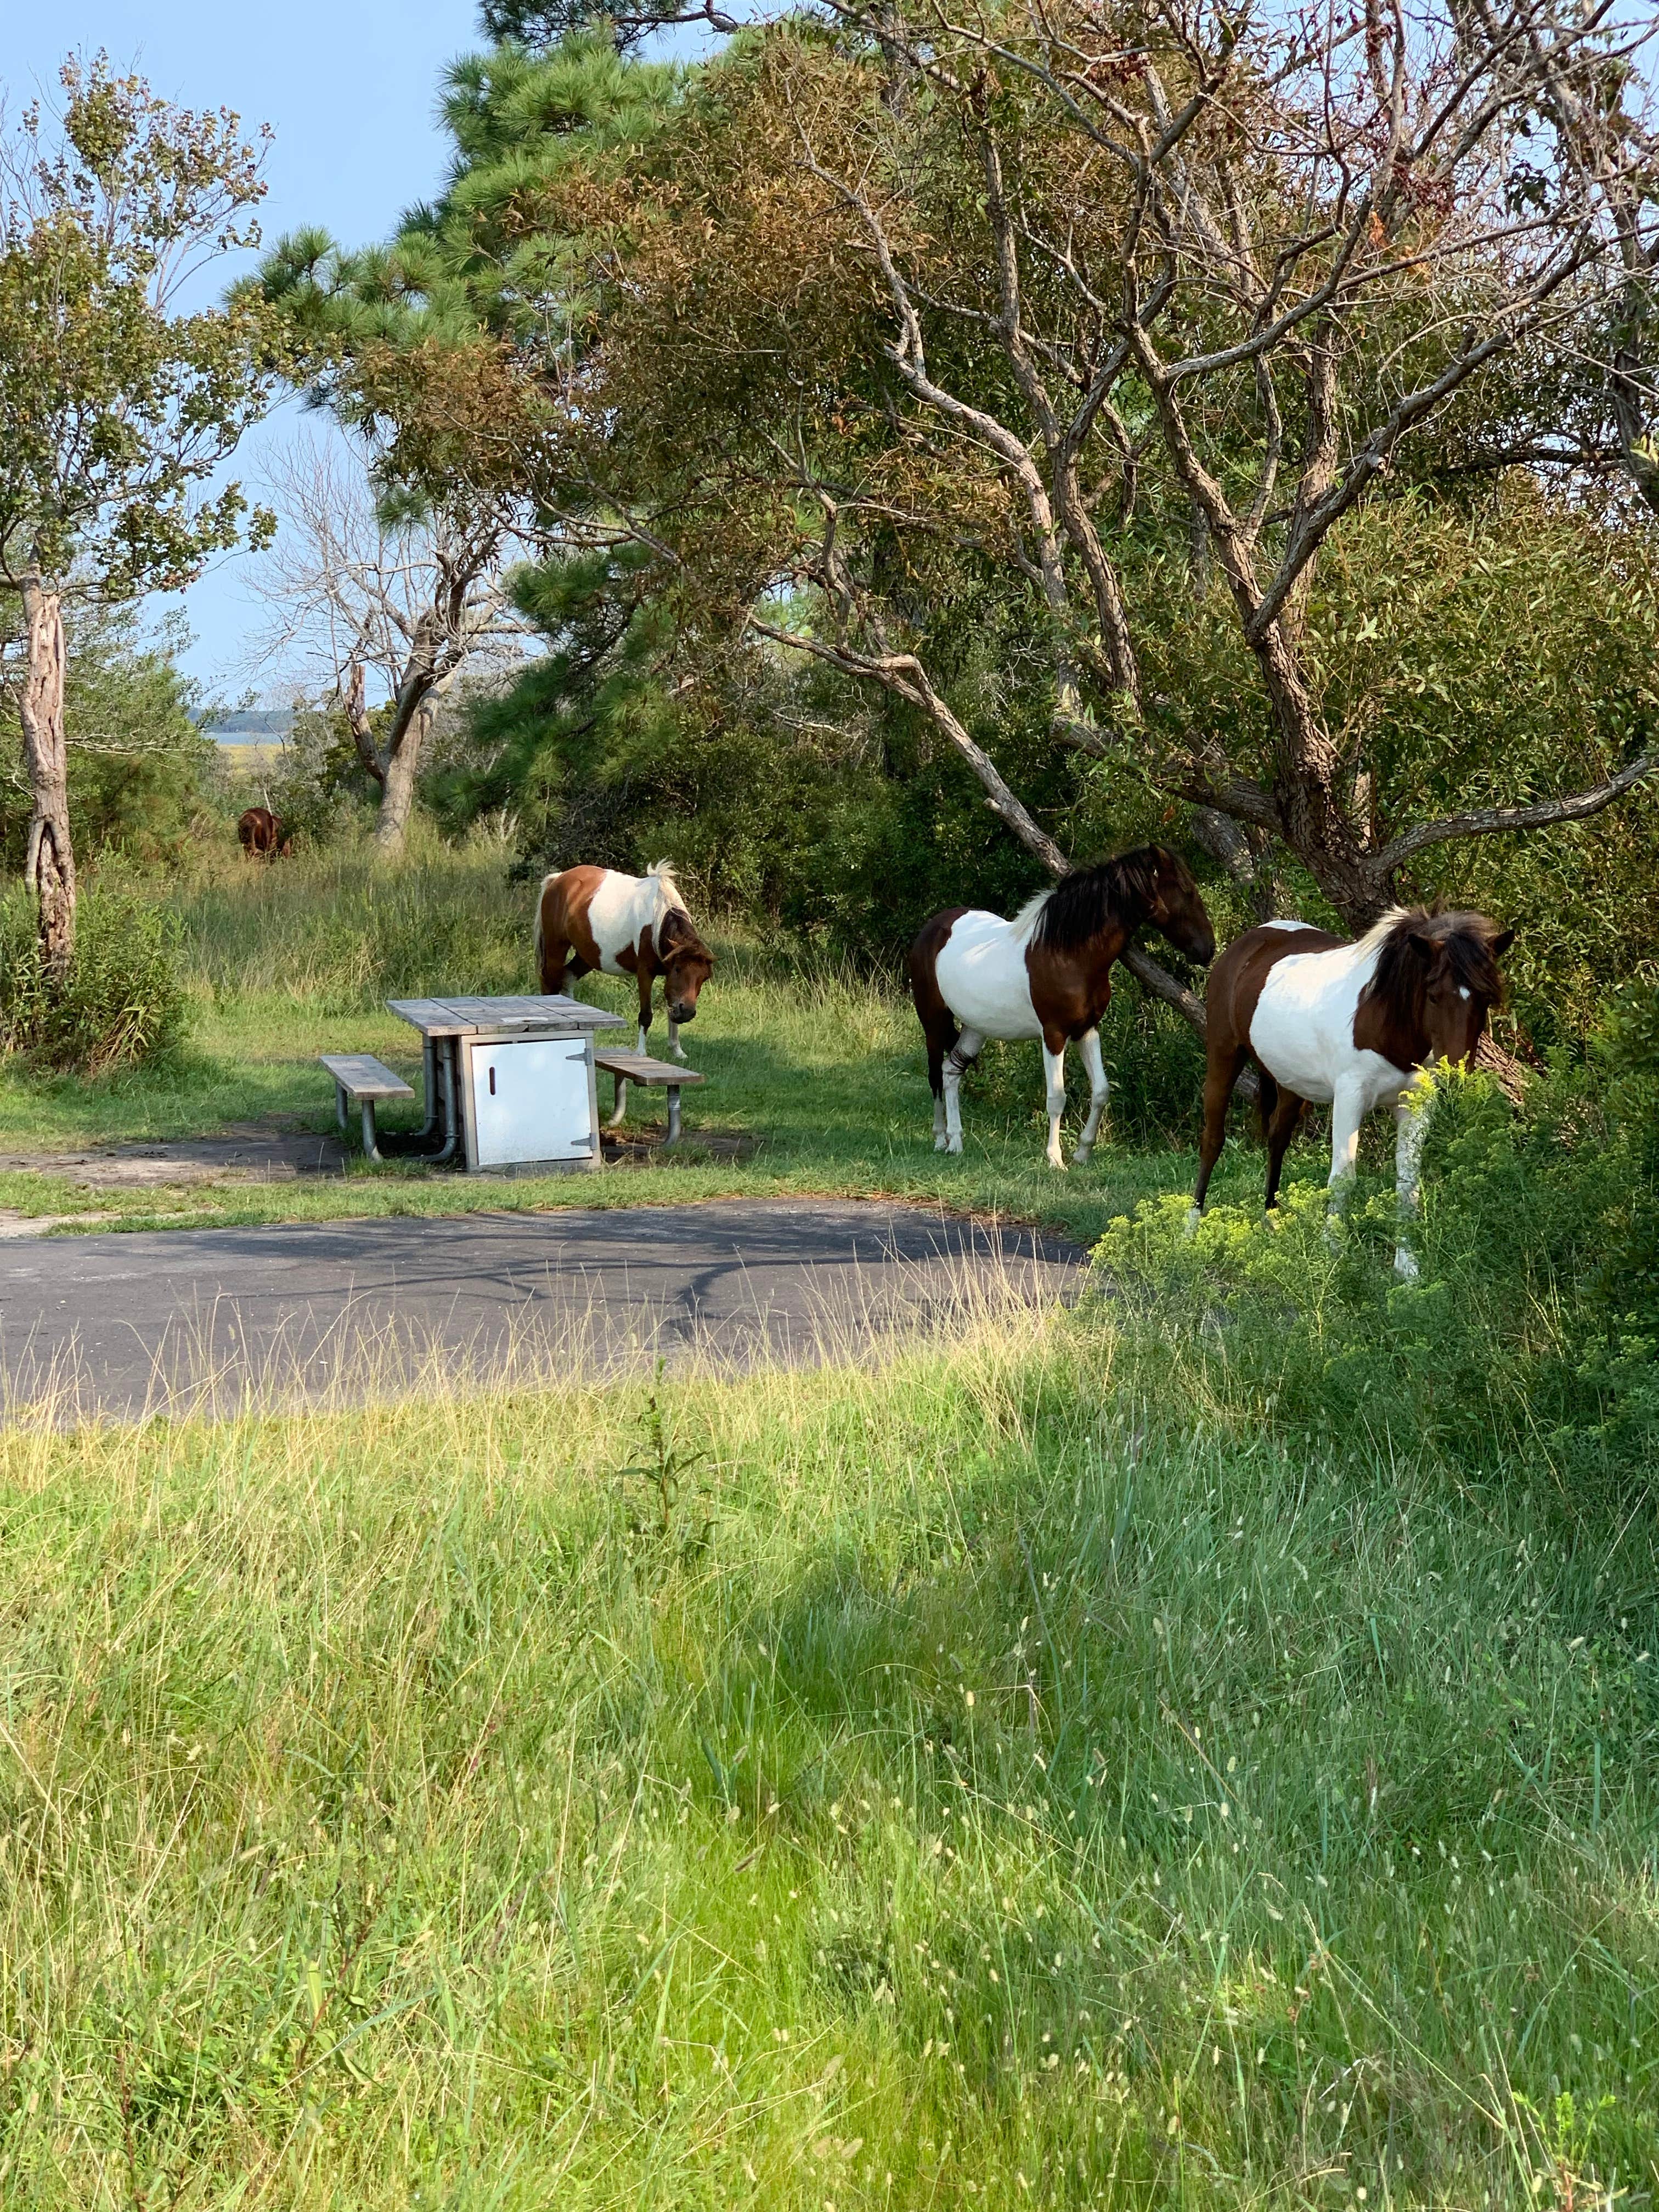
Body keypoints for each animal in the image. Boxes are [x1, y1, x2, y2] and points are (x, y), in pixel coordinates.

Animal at [534, 861, 715, 1060]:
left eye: (704, 978)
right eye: (678, 969)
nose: (687, 1013)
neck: (657, 919)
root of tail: (557, 879)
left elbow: (671, 1004)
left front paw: (677, 1050)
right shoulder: (645, 973)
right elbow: (646, 1015)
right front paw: (641, 1053)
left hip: (587, 955)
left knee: (568, 977)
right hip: (556, 949)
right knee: (550, 984)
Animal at [908, 846, 1216, 1170]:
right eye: (1185, 889)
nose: (1208, 949)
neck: (1068, 954)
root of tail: (932, 929)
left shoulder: (1087, 1030)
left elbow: (1101, 1090)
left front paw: (1083, 1152)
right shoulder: (1054, 1035)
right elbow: (1057, 1097)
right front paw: (1055, 1158)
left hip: (975, 1027)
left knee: (951, 1071)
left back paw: (956, 1141)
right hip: (933, 1021)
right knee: (935, 1075)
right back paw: (940, 1138)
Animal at [1190, 907, 1514, 1277]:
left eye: (1485, 999)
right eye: (1433, 994)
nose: (1455, 1075)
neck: (1385, 1017)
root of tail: (1247, 943)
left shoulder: (1415, 1107)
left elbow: (1408, 1186)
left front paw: (1407, 1265)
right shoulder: (1349, 1099)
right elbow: (1343, 1177)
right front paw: (1333, 1253)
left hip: (1290, 1082)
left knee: (1277, 1139)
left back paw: (1270, 1219)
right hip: (1223, 1054)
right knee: (1213, 1138)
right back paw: (1191, 1224)